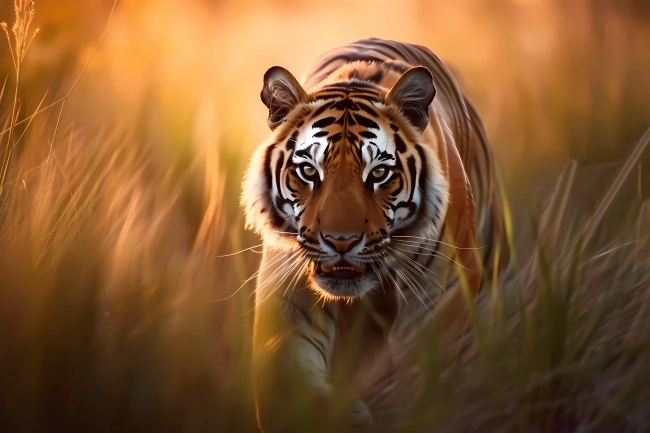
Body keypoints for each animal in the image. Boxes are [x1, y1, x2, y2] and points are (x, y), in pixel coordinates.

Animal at [242, 38, 506, 432]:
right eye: (308, 171)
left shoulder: (449, 287)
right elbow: (286, 383)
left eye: (379, 173)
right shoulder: (288, 292)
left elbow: (428, 370)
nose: (341, 241)